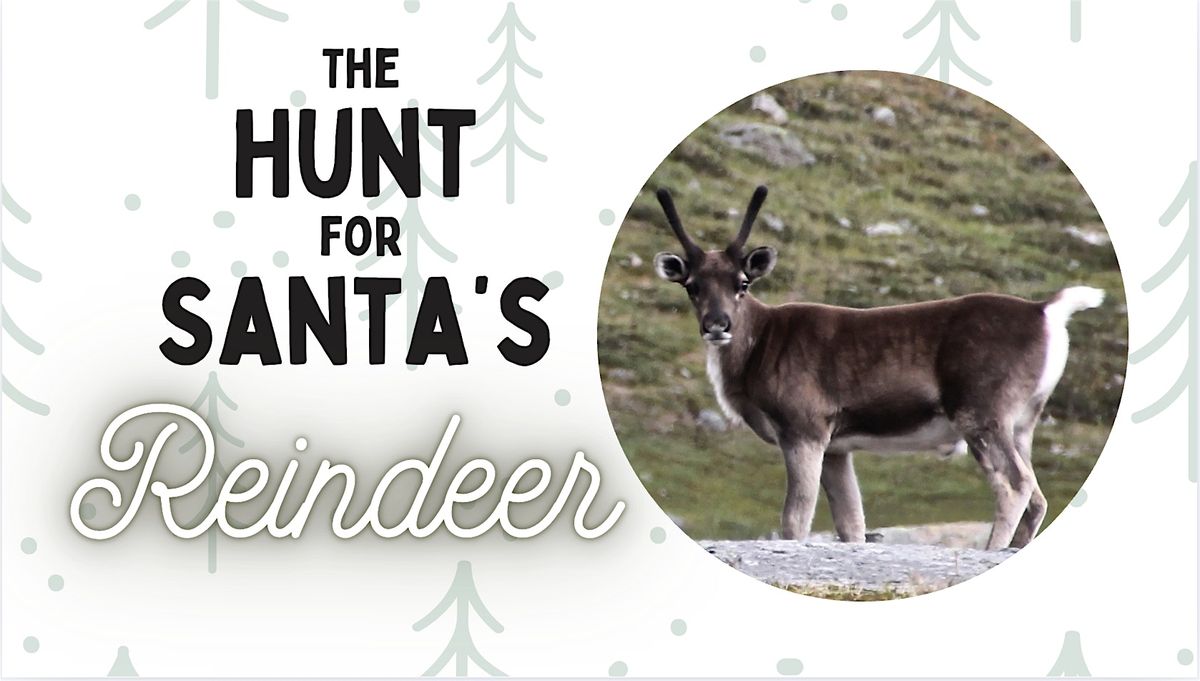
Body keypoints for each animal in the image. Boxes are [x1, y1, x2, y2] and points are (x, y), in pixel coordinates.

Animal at [652, 185, 1104, 550]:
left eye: (742, 283)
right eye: (692, 285)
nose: (717, 325)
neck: (759, 347)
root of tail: (1045, 310)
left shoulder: (804, 429)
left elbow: (794, 522)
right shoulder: (837, 446)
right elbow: (852, 525)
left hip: (980, 413)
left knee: (1015, 485)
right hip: (1023, 421)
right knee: (1038, 496)